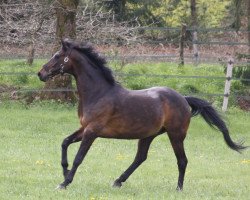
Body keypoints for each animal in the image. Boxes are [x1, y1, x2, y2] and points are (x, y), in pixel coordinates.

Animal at [37, 39, 246, 191]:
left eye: (57, 56)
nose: (40, 73)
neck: (99, 93)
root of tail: (184, 99)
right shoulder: (84, 128)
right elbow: (65, 142)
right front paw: (64, 172)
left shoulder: (92, 131)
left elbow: (79, 157)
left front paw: (64, 182)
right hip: (148, 135)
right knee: (140, 158)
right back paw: (118, 181)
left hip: (176, 135)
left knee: (182, 160)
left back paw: (178, 188)